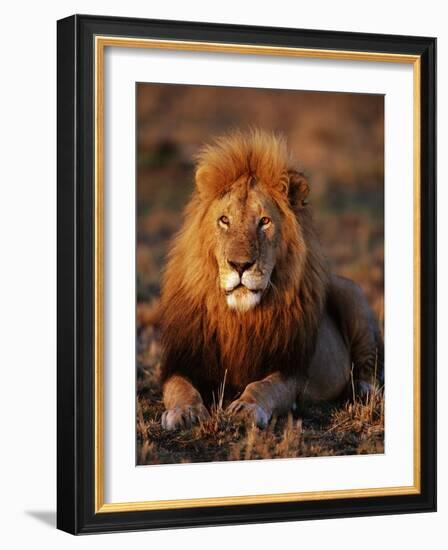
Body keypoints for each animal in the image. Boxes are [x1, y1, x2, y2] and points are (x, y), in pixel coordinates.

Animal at [157, 129, 382, 432]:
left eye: (264, 221)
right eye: (224, 220)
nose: (240, 265)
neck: (238, 319)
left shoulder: (291, 368)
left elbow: (264, 386)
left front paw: (245, 408)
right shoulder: (181, 360)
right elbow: (179, 387)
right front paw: (185, 412)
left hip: (351, 292)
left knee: (369, 365)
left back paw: (362, 391)